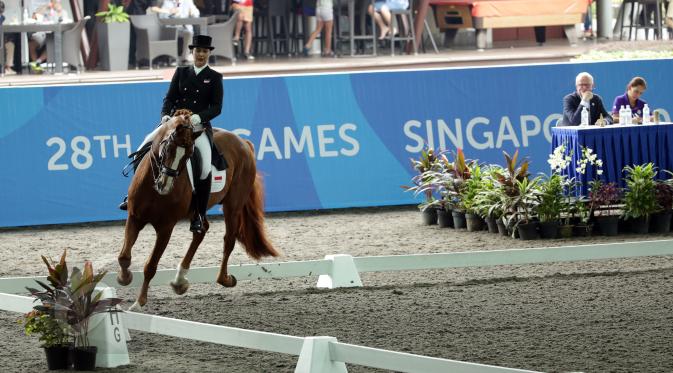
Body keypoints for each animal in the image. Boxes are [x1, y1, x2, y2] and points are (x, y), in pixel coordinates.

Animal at [115, 109, 278, 310]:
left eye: (188, 156)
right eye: (166, 147)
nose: (165, 186)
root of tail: (243, 143)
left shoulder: (166, 228)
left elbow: (151, 266)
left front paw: (139, 303)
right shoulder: (134, 217)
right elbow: (124, 257)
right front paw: (124, 278)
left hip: (233, 206)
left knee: (229, 240)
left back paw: (225, 279)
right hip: (199, 210)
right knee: (201, 231)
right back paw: (179, 281)